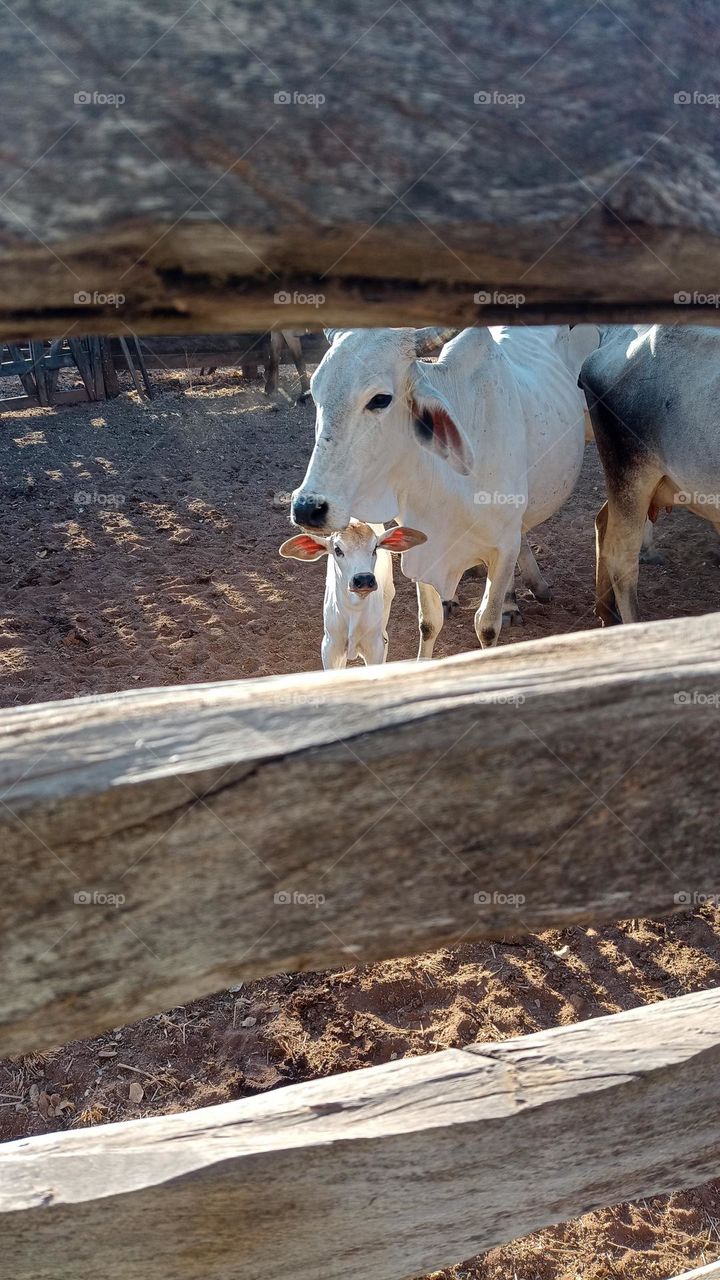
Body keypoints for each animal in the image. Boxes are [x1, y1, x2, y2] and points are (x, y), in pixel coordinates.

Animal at [279, 521, 427, 668]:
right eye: (338, 550)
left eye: (375, 548)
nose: (364, 579)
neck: (354, 608)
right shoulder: (329, 646)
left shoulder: (375, 647)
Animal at [290, 325, 589, 655]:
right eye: (317, 392)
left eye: (380, 399)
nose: (307, 507)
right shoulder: (420, 542)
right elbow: (429, 622)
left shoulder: (504, 545)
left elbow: (486, 626)